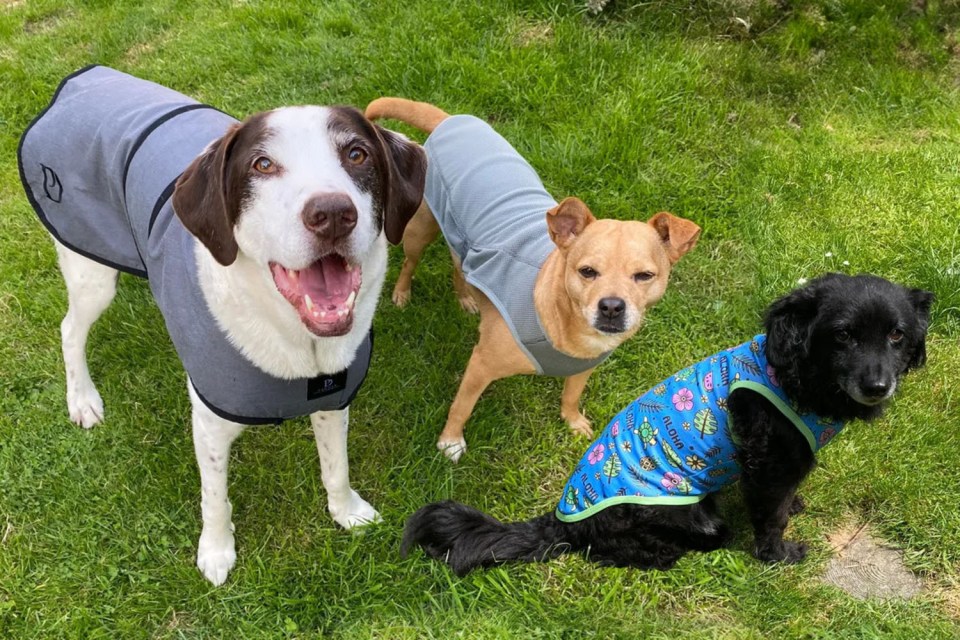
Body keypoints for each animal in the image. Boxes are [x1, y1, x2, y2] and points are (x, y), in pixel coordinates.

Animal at [16, 65, 424, 584]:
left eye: (357, 154)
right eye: (262, 165)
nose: (333, 214)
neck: (296, 340)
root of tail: (82, 78)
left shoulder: (332, 400)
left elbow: (337, 468)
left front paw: (346, 512)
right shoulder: (209, 425)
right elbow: (215, 498)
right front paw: (215, 551)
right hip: (91, 272)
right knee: (70, 330)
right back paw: (82, 399)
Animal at [368, 97, 696, 460]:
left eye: (644, 275)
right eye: (587, 271)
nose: (611, 307)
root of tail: (452, 120)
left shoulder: (583, 368)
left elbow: (571, 395)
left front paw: (572, 421)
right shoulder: (480, 365)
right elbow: (462, 407)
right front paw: (451, 441)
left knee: (458, 265)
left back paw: (466, 298)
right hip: (421, 228)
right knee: (410, 263)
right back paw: (402, 293)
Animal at [402, 276, 932, 576]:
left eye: (896, 334)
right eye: (842, 335)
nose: (878, 385)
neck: (794, 376)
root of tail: (561, 519)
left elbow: (784, 501)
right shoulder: (770, 462)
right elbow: (772, 516)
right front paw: (779, 556)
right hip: (683, 517)